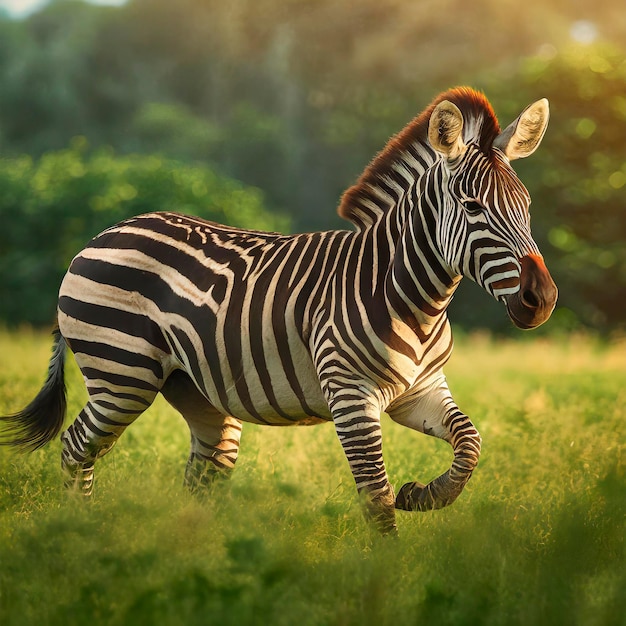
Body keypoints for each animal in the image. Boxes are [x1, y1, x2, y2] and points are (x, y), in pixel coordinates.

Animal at [0, 86, 556, 532]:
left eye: (528, 206)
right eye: (472, 208)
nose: (543, 300)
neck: (410, 295)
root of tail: (103, 234)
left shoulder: (419, 391)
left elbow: (470, 443)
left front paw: (425, 495)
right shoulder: (351, 395)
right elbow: (376, 498)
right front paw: (386, 576)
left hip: (193, 390)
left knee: (203, 471)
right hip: (121, 375)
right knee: (77, 448)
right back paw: (81, 533)